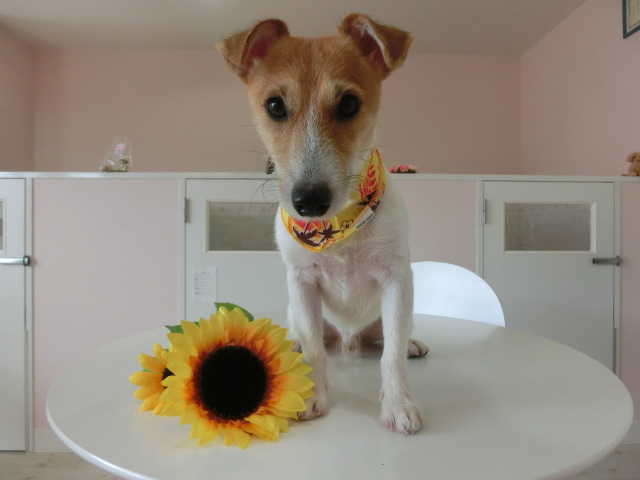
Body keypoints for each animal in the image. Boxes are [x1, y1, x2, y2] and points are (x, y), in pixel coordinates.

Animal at [218, 13, 427, 434]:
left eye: (348, 104)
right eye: (274, 106)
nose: (310, 201)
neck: (338, 230)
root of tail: (348, 336)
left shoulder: (397, 279)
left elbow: (392, 354)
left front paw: (399, 402)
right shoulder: (302, 281)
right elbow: (315, 349)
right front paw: (311, 394)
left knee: (392, 338)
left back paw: (412, 344)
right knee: (308, 335)